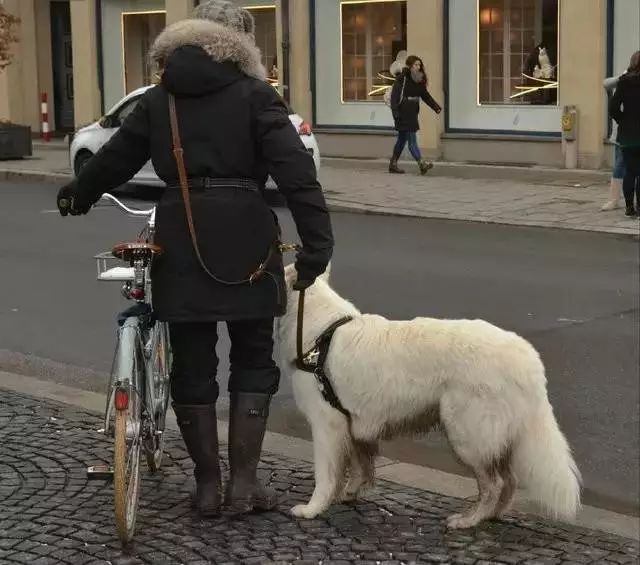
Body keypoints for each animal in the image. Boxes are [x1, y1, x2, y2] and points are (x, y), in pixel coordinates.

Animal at [278, 264, 584, 528]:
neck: (319, 333)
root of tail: (529, 359)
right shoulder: (353, 424)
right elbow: (360, 465)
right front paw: (350, 494)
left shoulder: (326, 425)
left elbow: (326, 475)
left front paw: (313, 509)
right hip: (490, 436)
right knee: (508, 481)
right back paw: (492, 516)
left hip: (466, 434)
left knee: (495, 483)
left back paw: (469, 520)